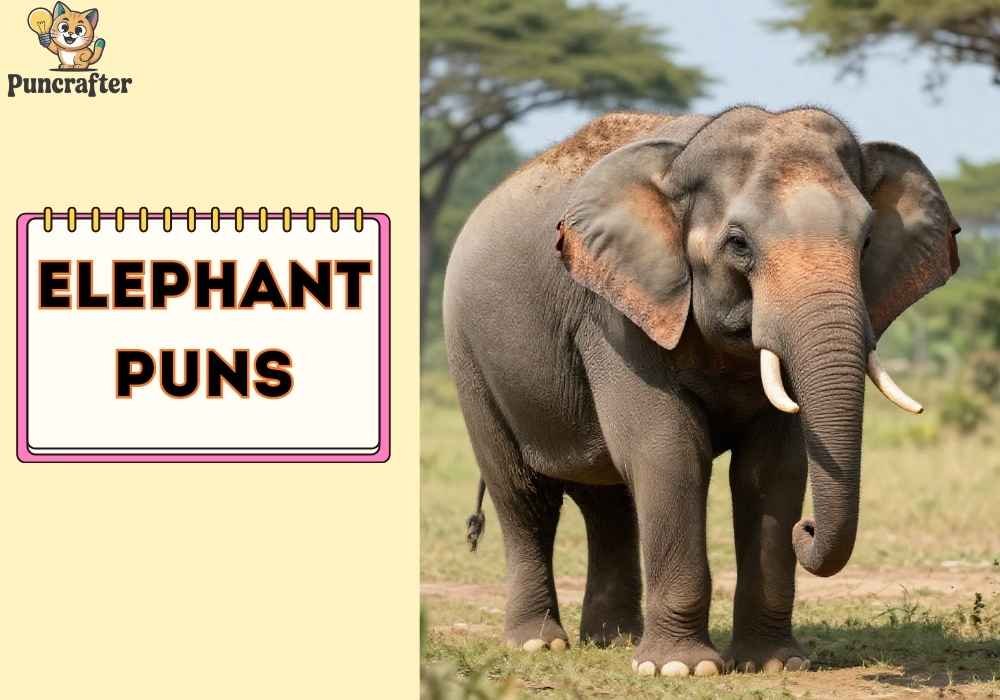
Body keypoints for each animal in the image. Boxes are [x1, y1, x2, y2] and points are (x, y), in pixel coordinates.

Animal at [442, 106, 960, 677]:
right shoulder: (615, 316)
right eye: (739, 243)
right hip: (469, 357)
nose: (805, 529)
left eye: (866, 242)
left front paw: (773, 665)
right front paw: (681, 669)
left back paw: (616, 640)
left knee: (608, 500)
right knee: (524, 495)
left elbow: (772, 467)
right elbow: (669, 451)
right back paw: (539, 644)